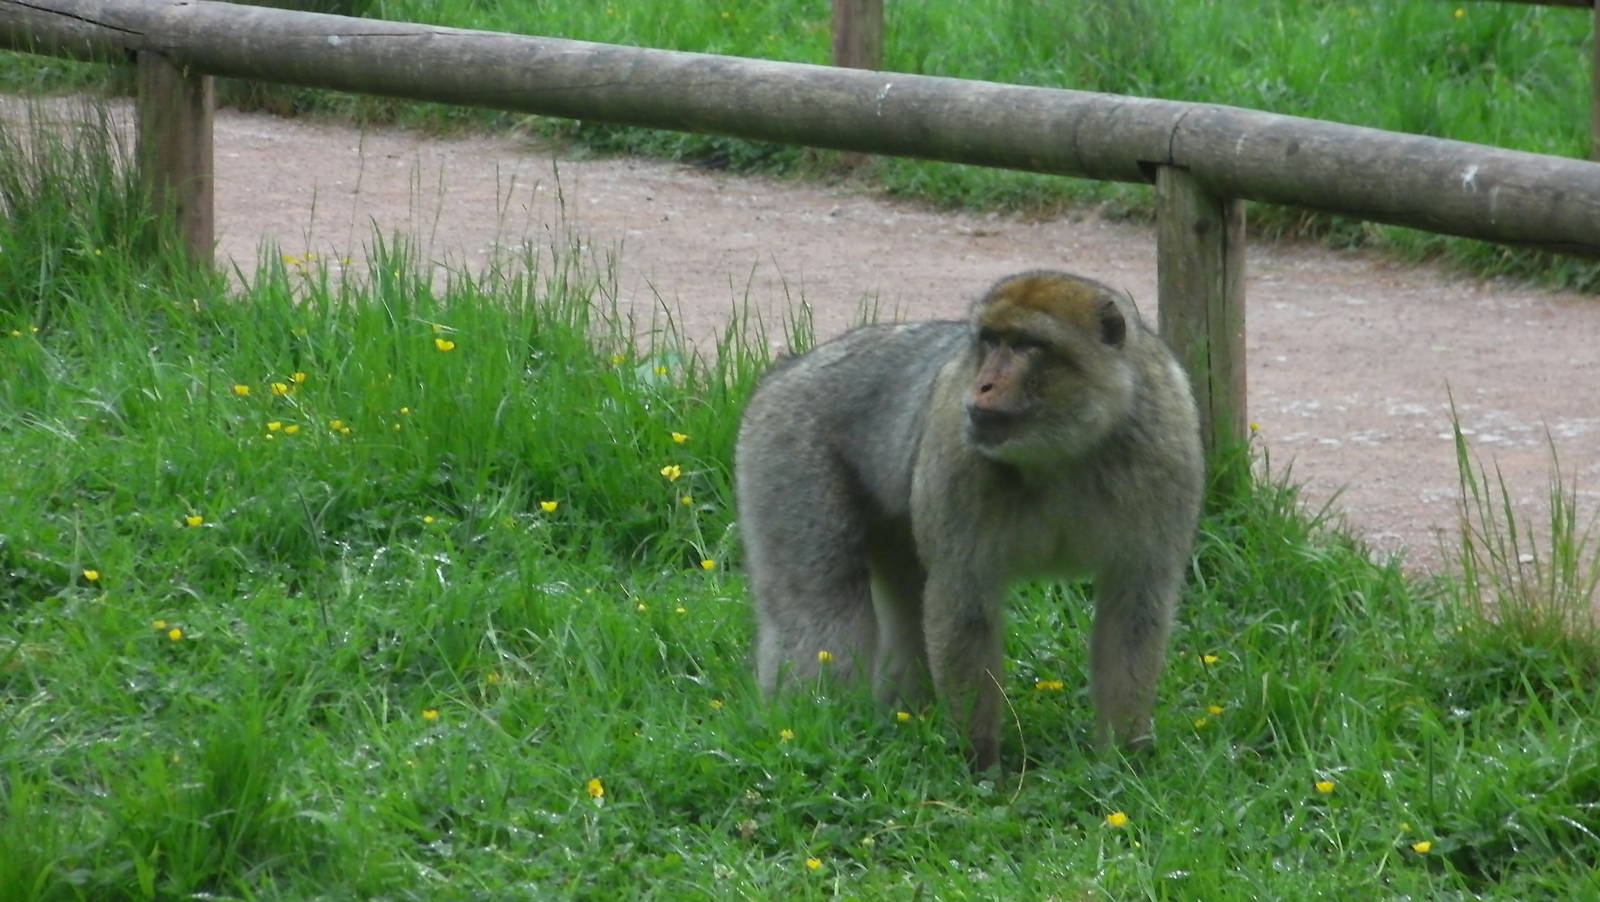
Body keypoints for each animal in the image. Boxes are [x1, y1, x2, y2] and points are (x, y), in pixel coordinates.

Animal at [734, 270, 1204, 771]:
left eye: (1027, 345)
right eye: (991, 339)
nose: (982, 386)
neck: (1063, 449)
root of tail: (791, 367)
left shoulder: (1166, 453)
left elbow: (1134, 609)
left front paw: (1125, 760)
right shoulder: (957, 451)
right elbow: (962, 604)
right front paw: (979, 764)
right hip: (786, 448)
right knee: (822, 612)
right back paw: (808, 736)